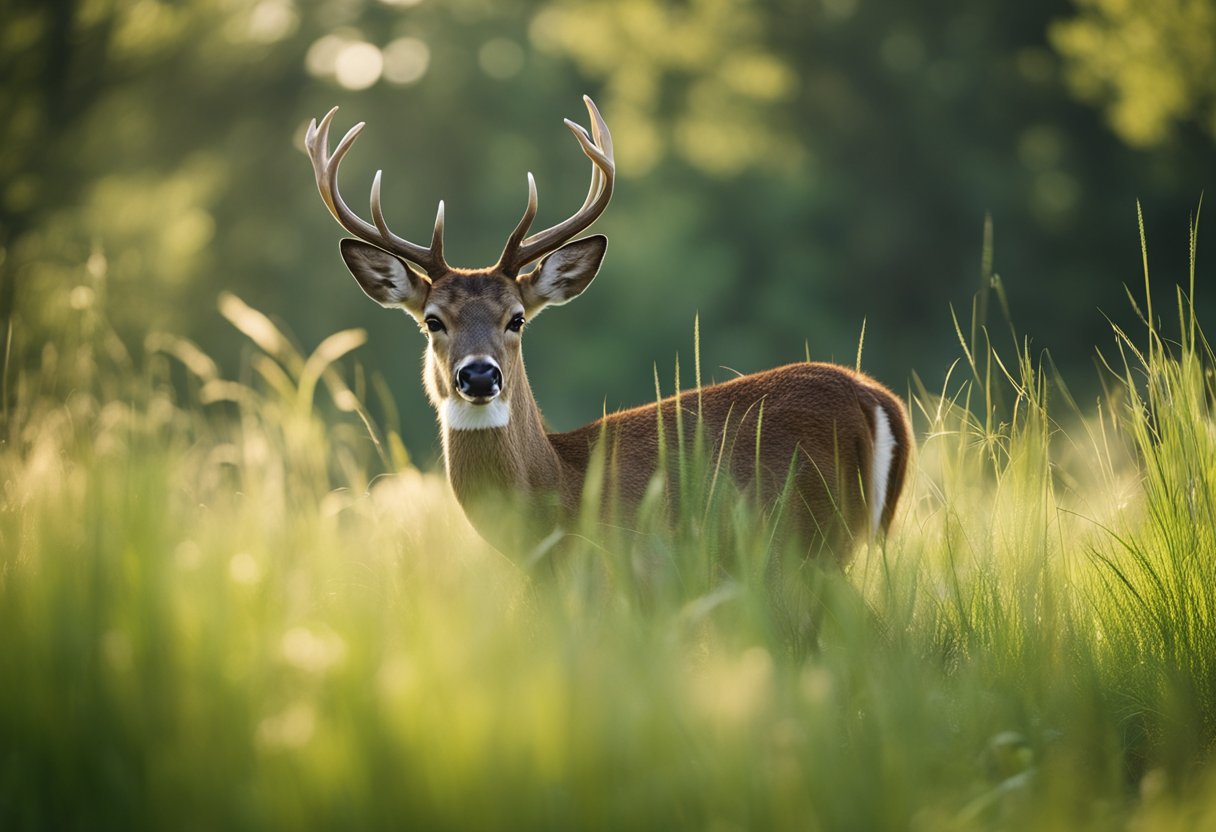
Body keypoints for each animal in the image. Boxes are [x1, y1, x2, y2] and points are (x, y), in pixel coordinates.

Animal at [306, 96, 914, 571]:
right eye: (433, 320)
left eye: (517, 318)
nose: (478, 375)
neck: (556, 499)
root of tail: (877, 400)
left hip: (811, 544)